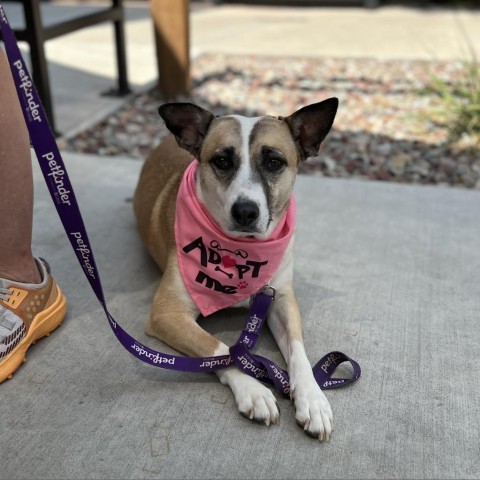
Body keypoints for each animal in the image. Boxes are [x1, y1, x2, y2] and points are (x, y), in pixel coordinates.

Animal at [132, 98, 338, 442]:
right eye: (222, 161)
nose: (245, 211)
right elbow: (218, 349)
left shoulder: (281, 298)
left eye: (274, 162)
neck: (243, 253)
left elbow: (298, 351)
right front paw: (253, 389)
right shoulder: (167, 314)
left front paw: (312, 398)